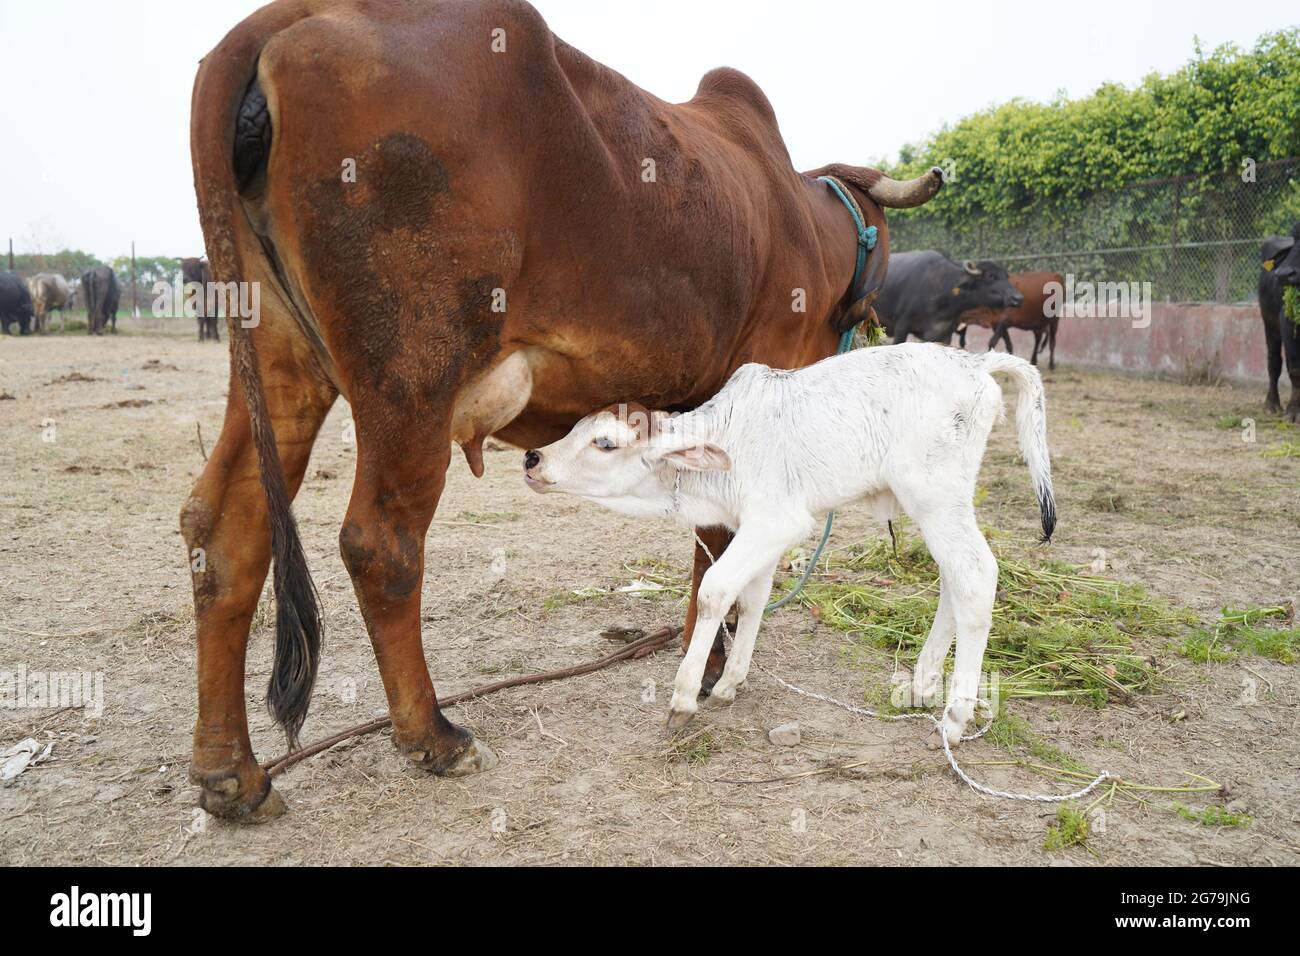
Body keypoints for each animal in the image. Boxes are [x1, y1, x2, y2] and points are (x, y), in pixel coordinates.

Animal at [520, 340, 1055, 743]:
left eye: (605, 443)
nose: (532, 458)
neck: (729, 441)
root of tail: (975, 361)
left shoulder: (778, 520)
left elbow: (715, 590)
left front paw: (684, 698)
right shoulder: (757, 529)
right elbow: (753, 598)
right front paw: (729, 683)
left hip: (935, 496)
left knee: (976, 575)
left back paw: (955, 716)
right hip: (938, 505)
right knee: (952, 578)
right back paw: (921, 685)